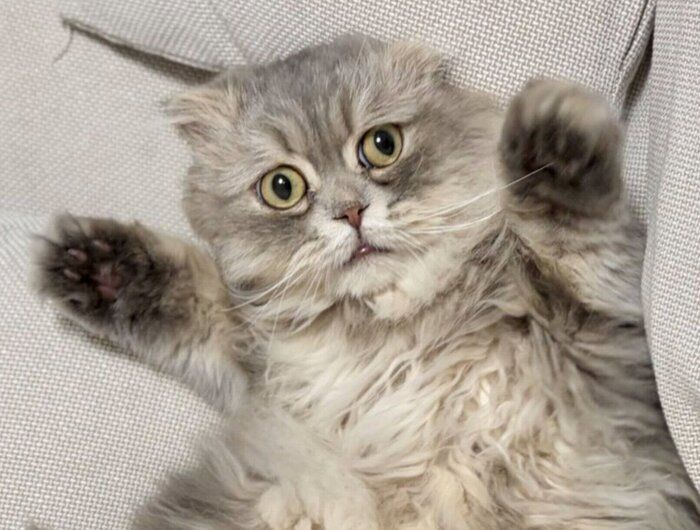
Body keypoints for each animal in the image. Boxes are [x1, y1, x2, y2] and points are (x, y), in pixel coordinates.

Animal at [32, 36, 700, 529]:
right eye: (282, 187)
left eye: (382, 146)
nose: (351, 213)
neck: (398, 326)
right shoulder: (263, 368)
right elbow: (198, 298)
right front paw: (97, 267)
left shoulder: (603, 339)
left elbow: (568, 235)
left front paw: (552, 146)